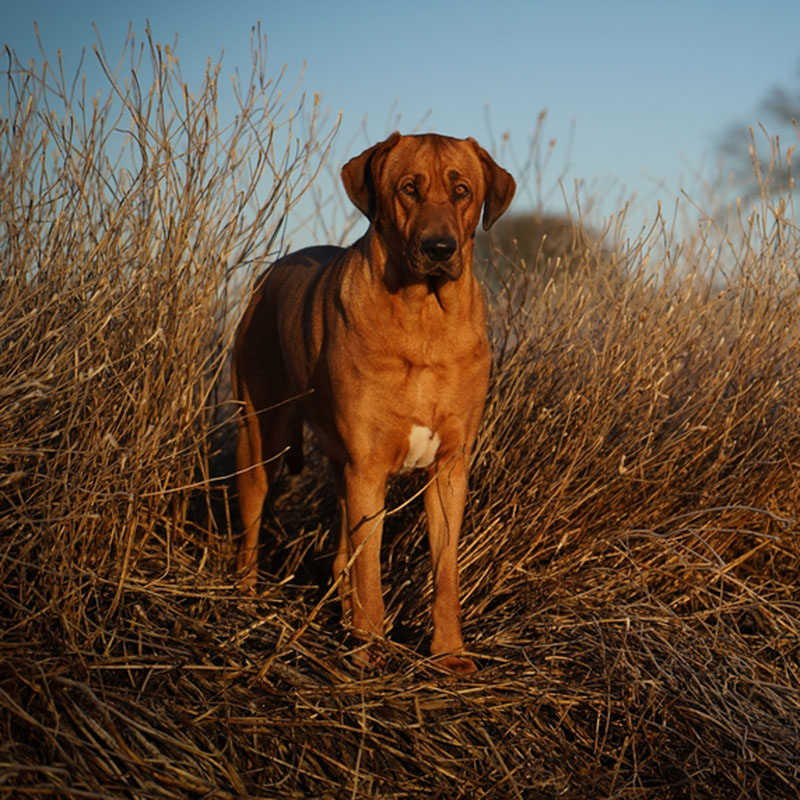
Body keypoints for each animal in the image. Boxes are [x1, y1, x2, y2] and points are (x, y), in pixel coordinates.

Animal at [234, 134, 516, 672]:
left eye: (462, 190)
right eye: (408, 188)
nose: (439, 248)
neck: (426, 318)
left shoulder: (449, 468)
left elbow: (445, 573)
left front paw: (449, 653)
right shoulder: (367, 467)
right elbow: (369, 569)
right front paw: (370, 649)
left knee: (341, 552)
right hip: (261, 434)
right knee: (254, 519)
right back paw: (245, 598)